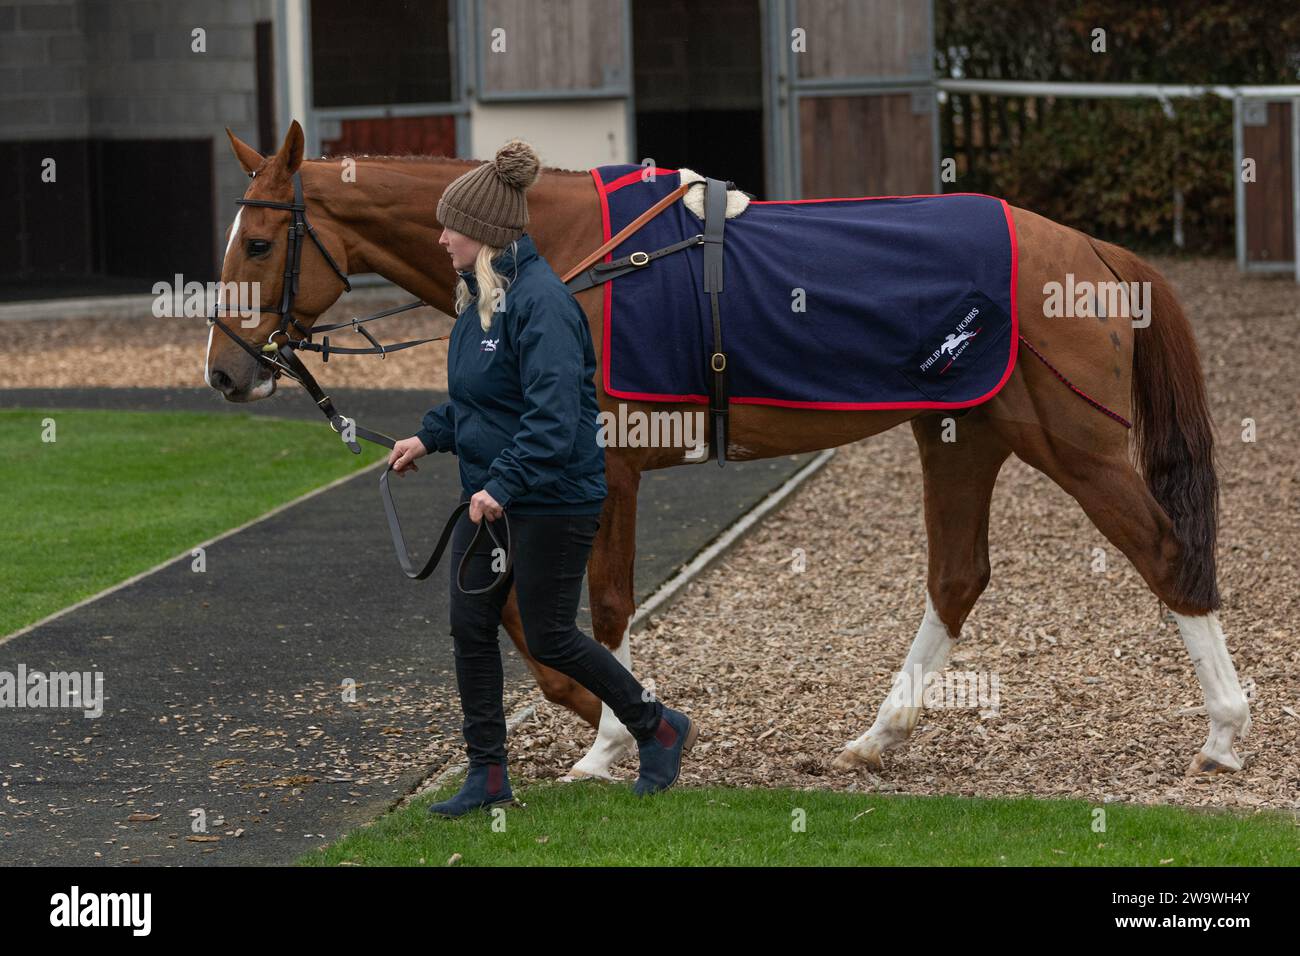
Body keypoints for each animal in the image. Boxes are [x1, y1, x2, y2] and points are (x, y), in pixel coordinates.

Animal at [208, 123, 1253, 785]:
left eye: (257, 242)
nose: (223, 372)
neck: (569, 255)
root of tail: (1095, 252)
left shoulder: (607, 468)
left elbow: (598, 606)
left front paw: (607, 741)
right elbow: (510, 607)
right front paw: (609, 713)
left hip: (1074, 445)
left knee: (1166, 557)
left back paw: (1224, 736)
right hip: (961, 436)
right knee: (958, 577)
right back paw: (876, 737)